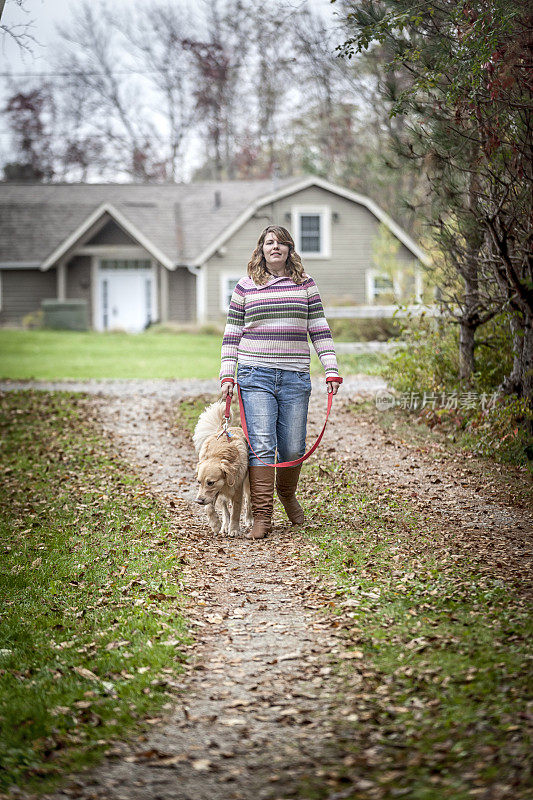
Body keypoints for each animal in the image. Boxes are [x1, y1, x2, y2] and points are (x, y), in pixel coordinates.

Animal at [192, 400, 252, 536]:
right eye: (199, 482)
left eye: (210, 482)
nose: (198, 501)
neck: (218, 454)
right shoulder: (213, 493)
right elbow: (209, 508)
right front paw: (215, 524)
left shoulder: (237, 490)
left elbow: (236, 511)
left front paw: (234, 529)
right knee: (225, 509)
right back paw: (224, 525)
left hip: (248, 483)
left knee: (249, 501)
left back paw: (249, 519)